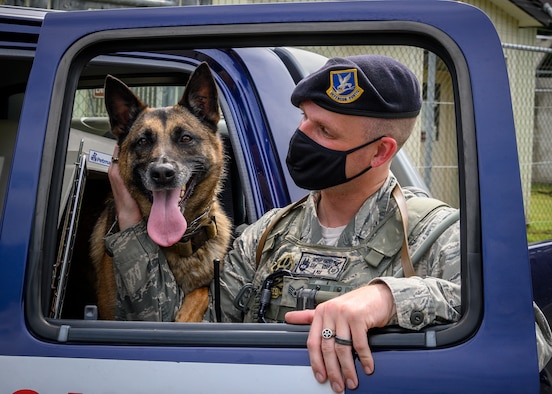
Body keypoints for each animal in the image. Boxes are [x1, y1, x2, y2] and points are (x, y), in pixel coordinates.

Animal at [90, 63, 231, 322]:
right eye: (143, 141)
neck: (179, 241)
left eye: (185, 138)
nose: (162, 173)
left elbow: (202, 291)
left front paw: (185, 316)